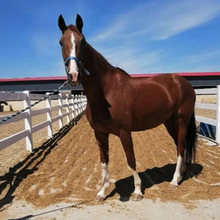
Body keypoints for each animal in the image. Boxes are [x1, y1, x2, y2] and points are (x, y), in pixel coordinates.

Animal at [58, 14, 196, 202]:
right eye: (61, 42)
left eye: (82, 41)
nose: (74, 75)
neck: (107, 91)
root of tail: (185, 83)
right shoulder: (100, 133)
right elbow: (104, 162)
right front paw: (101, 192)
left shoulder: (124, 132)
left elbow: (131, 160)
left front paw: (137, 191)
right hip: (169, 122)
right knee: (179, 146)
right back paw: (181, 175)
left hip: (182, 120)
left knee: (181, 147)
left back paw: (174, 181)